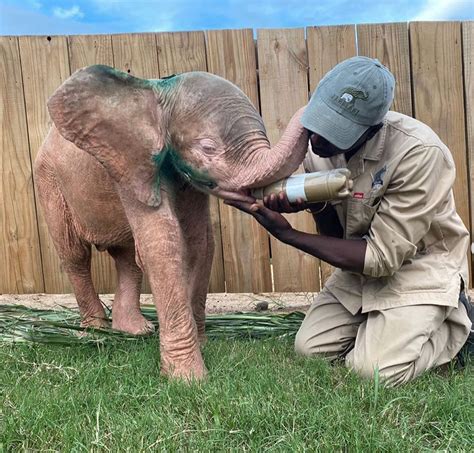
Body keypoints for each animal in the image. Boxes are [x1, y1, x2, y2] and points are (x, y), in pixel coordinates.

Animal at [34, 65, 308, 380]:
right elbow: (163, 242)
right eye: (208, 148)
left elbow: (200, 241)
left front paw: (201, 346)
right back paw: (95, 334)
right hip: (49, 182)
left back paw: (135, 331)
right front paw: (188, 378)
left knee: (127, 258)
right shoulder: (130, 165)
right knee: (75, 255)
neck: (158, 93)